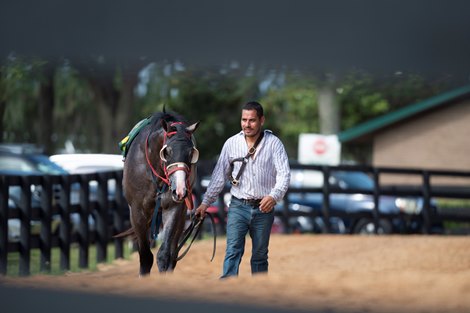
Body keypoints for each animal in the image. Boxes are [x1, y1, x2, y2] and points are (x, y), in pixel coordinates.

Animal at [120, 110, 199, 276]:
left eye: (191, 153)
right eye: (167, 151)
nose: (180, 189)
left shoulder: (173, 207)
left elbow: (164, 254)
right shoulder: (137, 211)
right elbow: (145, 256)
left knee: (173, 252)